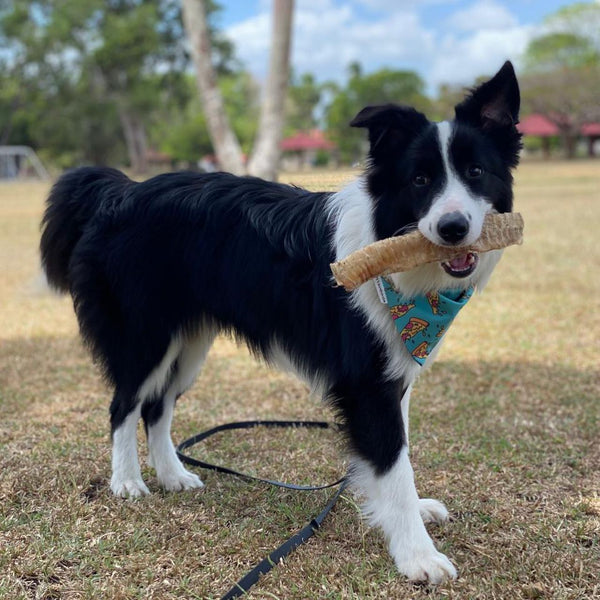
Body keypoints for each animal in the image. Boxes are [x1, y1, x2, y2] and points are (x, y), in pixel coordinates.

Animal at [42, 63, 520, 584]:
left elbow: (398, 453)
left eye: (476, 172)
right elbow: (393, 464)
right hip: (145, 335)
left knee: (157, 406)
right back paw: (126, 481)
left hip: (189, 342)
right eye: (419, 179)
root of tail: (120, 190)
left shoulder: (396, 370)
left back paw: (172, 476)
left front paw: (409, 516)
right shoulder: (367, 382)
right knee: (124, 404)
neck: (390, 250)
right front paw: (418, 555)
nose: (453, 228)